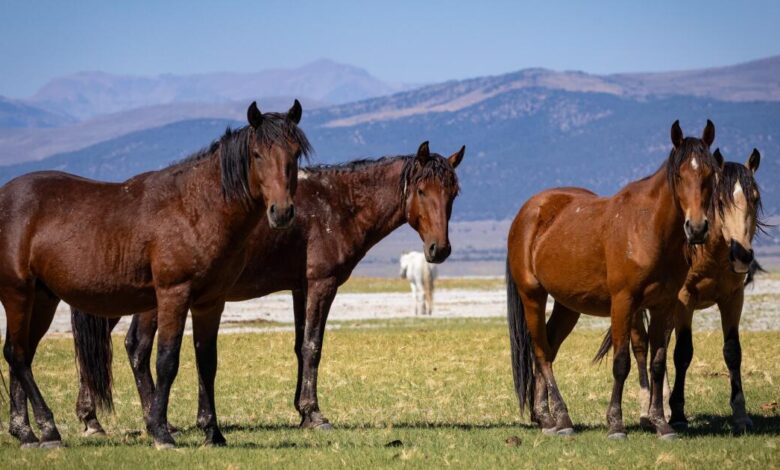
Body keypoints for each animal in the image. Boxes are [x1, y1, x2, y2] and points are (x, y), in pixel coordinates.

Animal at [0, 100, 310, 449]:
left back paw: (25, 432)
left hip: (42, 298)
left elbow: (207, 361)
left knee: (21, 354)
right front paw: (161, 431)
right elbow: (167, 359)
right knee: (17, 354)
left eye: (295, 152)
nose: (281, 212)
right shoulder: (173, 294)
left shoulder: (211, 302)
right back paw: (48, 429)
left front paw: (212, 432)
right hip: (17, 293)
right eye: (257, 154)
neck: (194, 208)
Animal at [70, 142, 465, 439]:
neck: (336, 205)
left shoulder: (300, 289)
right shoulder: (321, 284)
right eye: (421, 191)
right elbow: (313, 346)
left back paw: (95, 419)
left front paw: (302, 412)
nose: (439, 250)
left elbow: (300, 346)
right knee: (134, 347)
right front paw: (314, 415)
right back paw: (145, 420)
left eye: (453, 193)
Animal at [506, 120, 722, 439]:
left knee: (549, 349)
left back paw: (546, 417)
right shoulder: (623, 301)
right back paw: (561, 419)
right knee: (542, 352)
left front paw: (661, 423)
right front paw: (616, 424)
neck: (648, 228)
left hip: (567, 306)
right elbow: (621, 362)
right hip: (532, 295)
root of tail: (528, 211)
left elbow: (658, 363)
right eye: (679, 175)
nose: (696, 228)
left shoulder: (663, 304)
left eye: (710, 174)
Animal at [592, 149, 764, 434]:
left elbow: (732, 352)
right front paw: (678, 413)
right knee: (641, 347)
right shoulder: (685, 299)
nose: (742, 255)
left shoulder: (733, 298)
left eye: (755, 197)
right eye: (719, 200)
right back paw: (646, 410)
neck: (710, 252)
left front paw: (741, 414)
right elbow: (683, 352)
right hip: (636, 307)